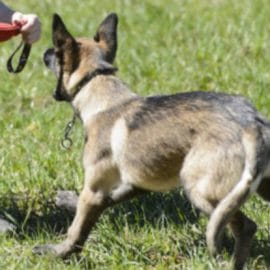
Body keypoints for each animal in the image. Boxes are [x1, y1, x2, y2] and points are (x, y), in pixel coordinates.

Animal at [33, 13, 270, 270]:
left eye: (56, 52)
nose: (45, 51)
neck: (102, 93)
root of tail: (252, 123)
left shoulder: (94, 190)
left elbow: (77, 231)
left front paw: (56, 253)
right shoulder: (133, 184)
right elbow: (105, 202)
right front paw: (67, 201)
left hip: (200, 189)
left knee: (245, 226)